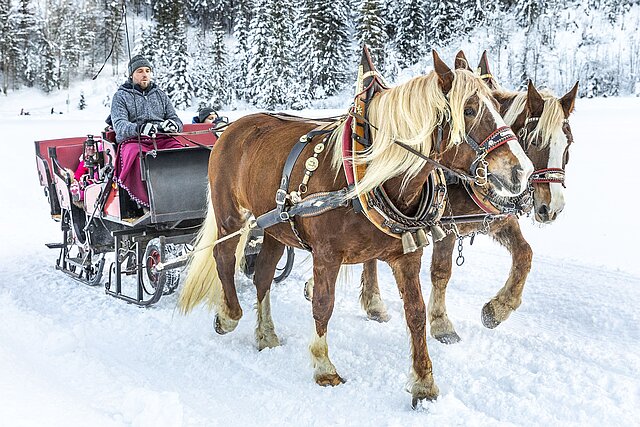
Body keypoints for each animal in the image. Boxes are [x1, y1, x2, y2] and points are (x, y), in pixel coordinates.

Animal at [178, 50, 532, 408]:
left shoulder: (407, 255)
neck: (369, 176)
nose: (522, 171)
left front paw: (424, 382)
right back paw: (229, 315)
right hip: (230, 214)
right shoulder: (326, 255)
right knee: (223, 256)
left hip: (276, 225)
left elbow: (415, 313)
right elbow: (323, 305)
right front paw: (324, 366)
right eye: (469, 110)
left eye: (498, 106)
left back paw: (266, 334)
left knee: (262, 274)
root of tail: (231, 127)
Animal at [356, 51, 580, 344]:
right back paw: (372, 303)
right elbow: (441, 271)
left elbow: (525, 254)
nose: (552, 207)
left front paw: (498, 308)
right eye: (536, 140)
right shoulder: (446, 226)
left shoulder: (499, 220)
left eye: (568, 144)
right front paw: (441, 323)